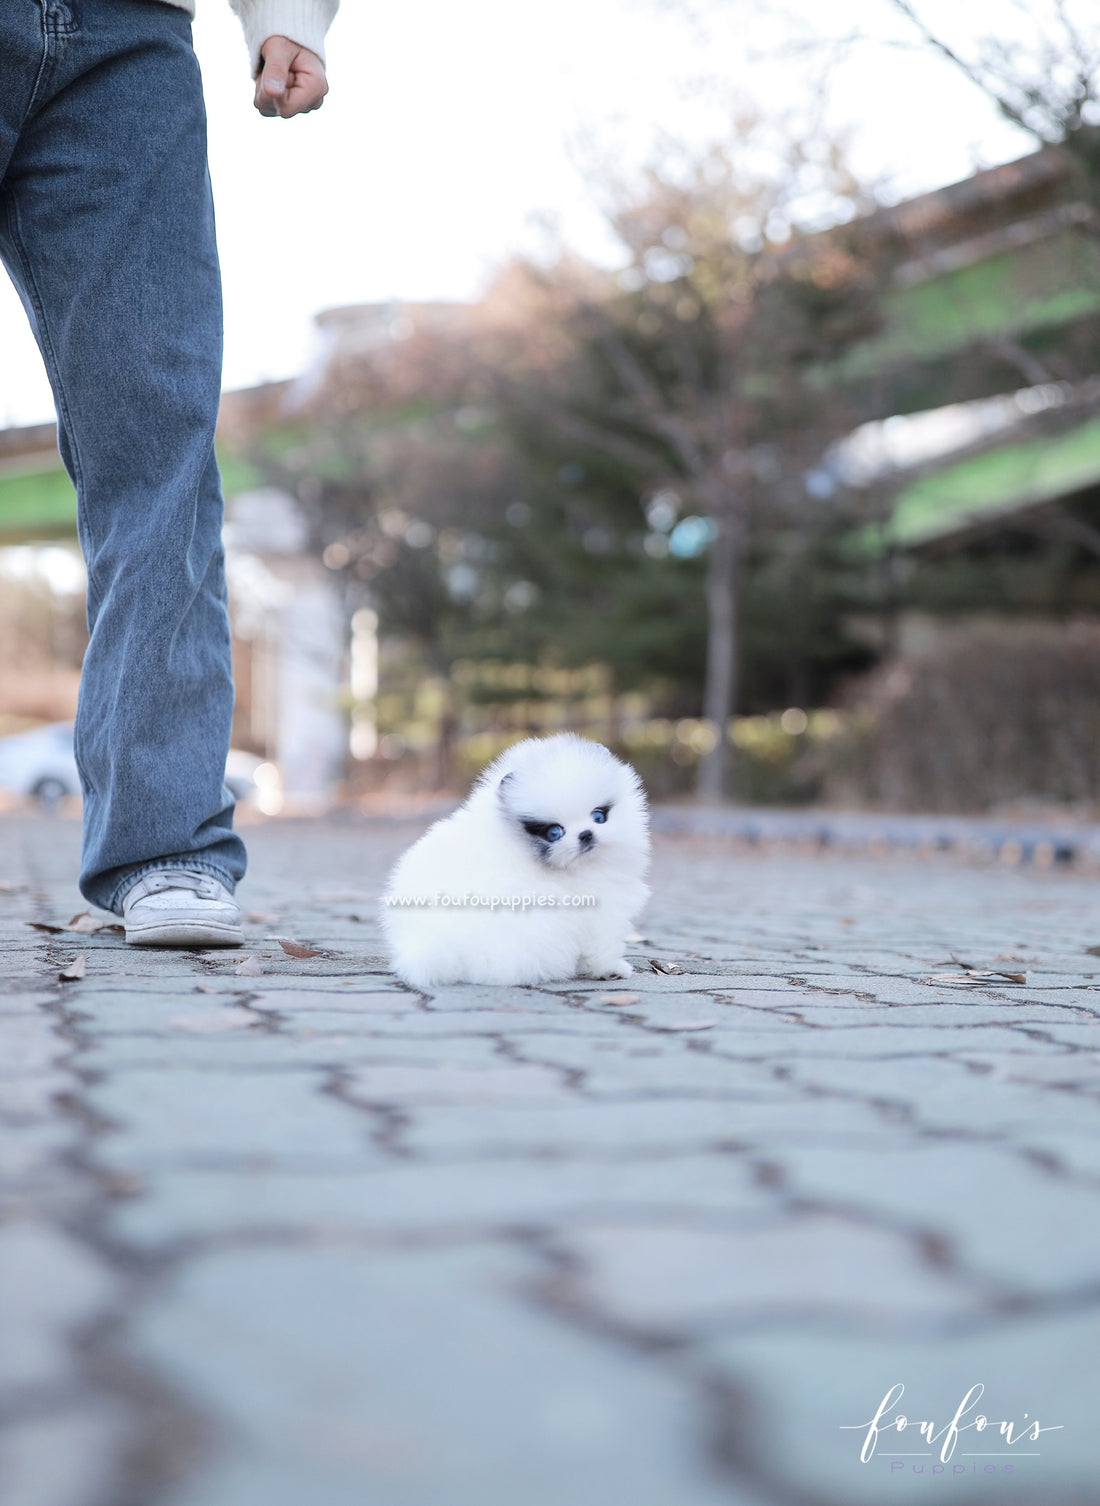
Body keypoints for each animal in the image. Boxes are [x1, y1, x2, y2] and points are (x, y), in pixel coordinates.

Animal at [381, 731, 647, 987]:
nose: (586, 834)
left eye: (598, 817)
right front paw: (611, 969)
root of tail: (438, 947)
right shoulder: (600, 912)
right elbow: (601, 946)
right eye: (554, 833)